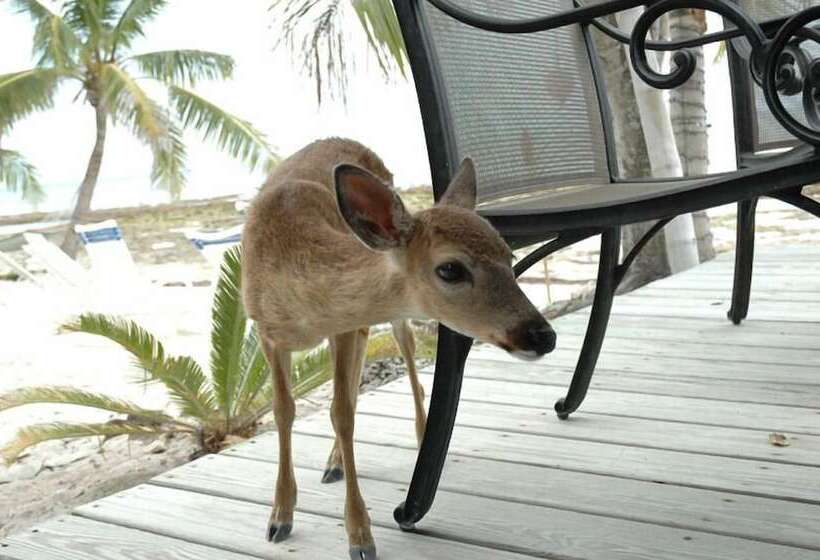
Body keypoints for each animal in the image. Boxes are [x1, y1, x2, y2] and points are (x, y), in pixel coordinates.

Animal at [242, 137, 556, 560]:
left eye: (509, 256)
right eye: (451, 269)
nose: (542, 335)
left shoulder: (343, 327)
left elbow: (341, 412)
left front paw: (359, 535)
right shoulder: (266, 332)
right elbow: (284, 411)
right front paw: (280, 516)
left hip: (387, 322)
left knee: (402, 357)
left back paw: (416, 436)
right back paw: (334, 463)